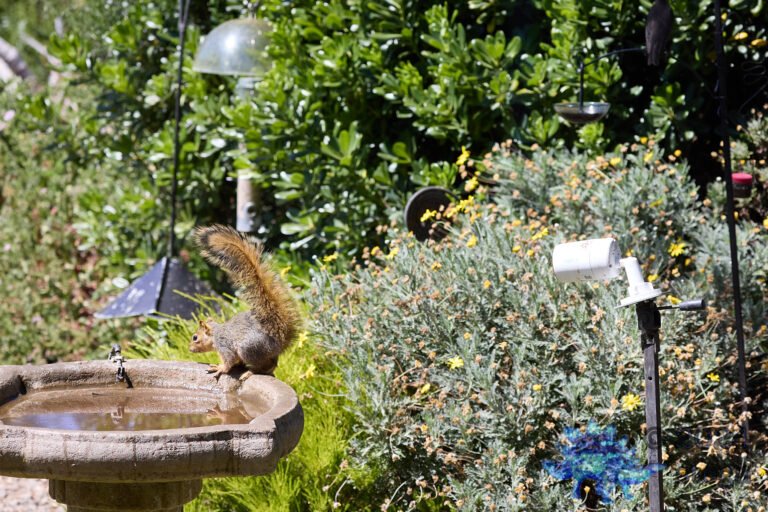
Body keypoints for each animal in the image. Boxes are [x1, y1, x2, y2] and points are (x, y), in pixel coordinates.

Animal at [189, 225, 301, 379]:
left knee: (264, 366)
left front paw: (220, 368)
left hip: (248, 348)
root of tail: (280, 338)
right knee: (272, 365)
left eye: (195, 337)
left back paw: (250, 372)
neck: (215, 334)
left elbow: (228, 360)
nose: (189, 349)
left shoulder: (224, 345)